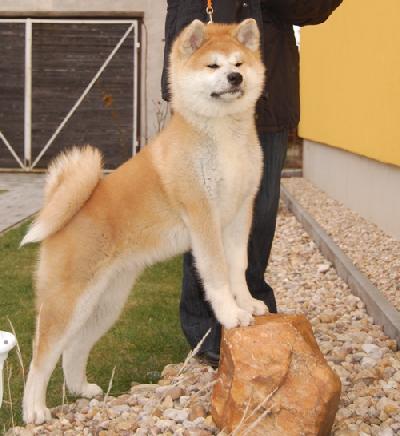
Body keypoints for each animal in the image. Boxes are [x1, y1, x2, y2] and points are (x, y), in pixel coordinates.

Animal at [21, 18, 266, 424]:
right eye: (212, 66)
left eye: (239, 63)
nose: (234, 77)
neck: (221, 136)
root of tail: (65, 212)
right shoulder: (203, 217)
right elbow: (216, 274)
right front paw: (231, 314)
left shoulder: (239, 214)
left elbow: (238, 268)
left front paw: (247, 304)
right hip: (68, 299)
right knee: (41, 354)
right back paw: (34, 410)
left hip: (105, 302)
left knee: (74, 348)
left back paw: (82, 389)